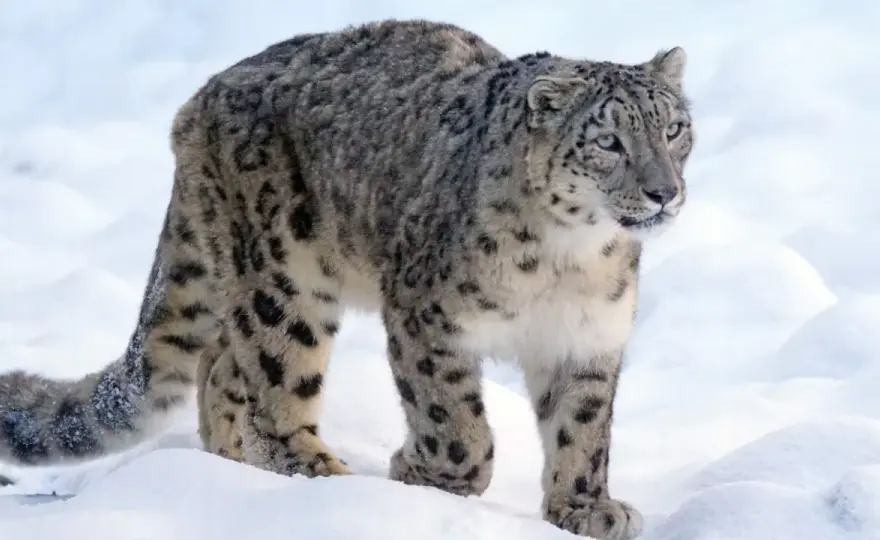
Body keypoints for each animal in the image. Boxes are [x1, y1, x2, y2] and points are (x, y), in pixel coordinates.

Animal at [0, 19, 694, 539]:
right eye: (607, 141)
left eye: (674, 129)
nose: (664, 191)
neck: (570, 259)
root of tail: (200, 100)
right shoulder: (427, 317)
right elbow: (454, 422)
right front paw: (425, 475)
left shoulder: (588, 337)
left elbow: (583, 427)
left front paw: (584, 508)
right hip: (284, 284)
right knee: (273, 384)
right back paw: (318, 479)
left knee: (221, 363)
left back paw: (230, 470)